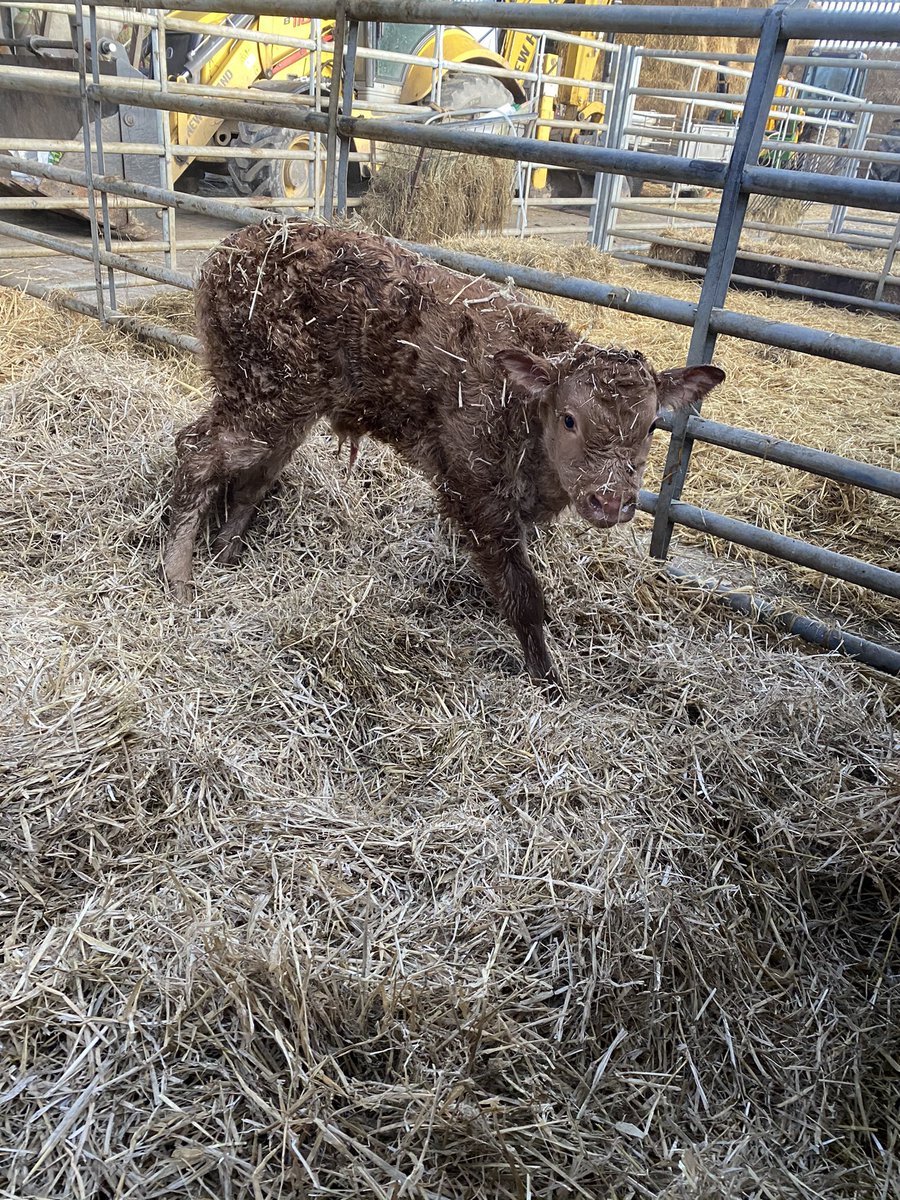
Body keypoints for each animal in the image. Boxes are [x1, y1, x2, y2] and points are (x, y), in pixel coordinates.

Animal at [163, 218, 724, 690]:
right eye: (569, 419)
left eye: (651, 425)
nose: (610, 501)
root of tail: (231, 248)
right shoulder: (477, 487)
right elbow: (524, 596)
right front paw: (548, 682)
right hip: (265, 393)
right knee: (198, 452)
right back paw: (179, 578)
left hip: (289, 405)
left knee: (252, 477)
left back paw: (226, 553)